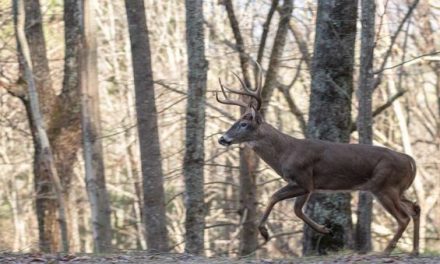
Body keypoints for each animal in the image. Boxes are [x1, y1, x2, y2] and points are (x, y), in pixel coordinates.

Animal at [216, 70, 420, 256]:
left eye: (243, 124)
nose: (222, 138)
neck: (285, 153)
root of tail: (409, 159)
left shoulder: (304, 180)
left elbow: (277, 199)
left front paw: (265, 233)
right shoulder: (306, 184)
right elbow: (294, 208)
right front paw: (325, 230)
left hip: (384, 185)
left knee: (403, 217)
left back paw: (386, 251)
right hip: (397, 188)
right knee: (415, 208)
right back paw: (414, 250)